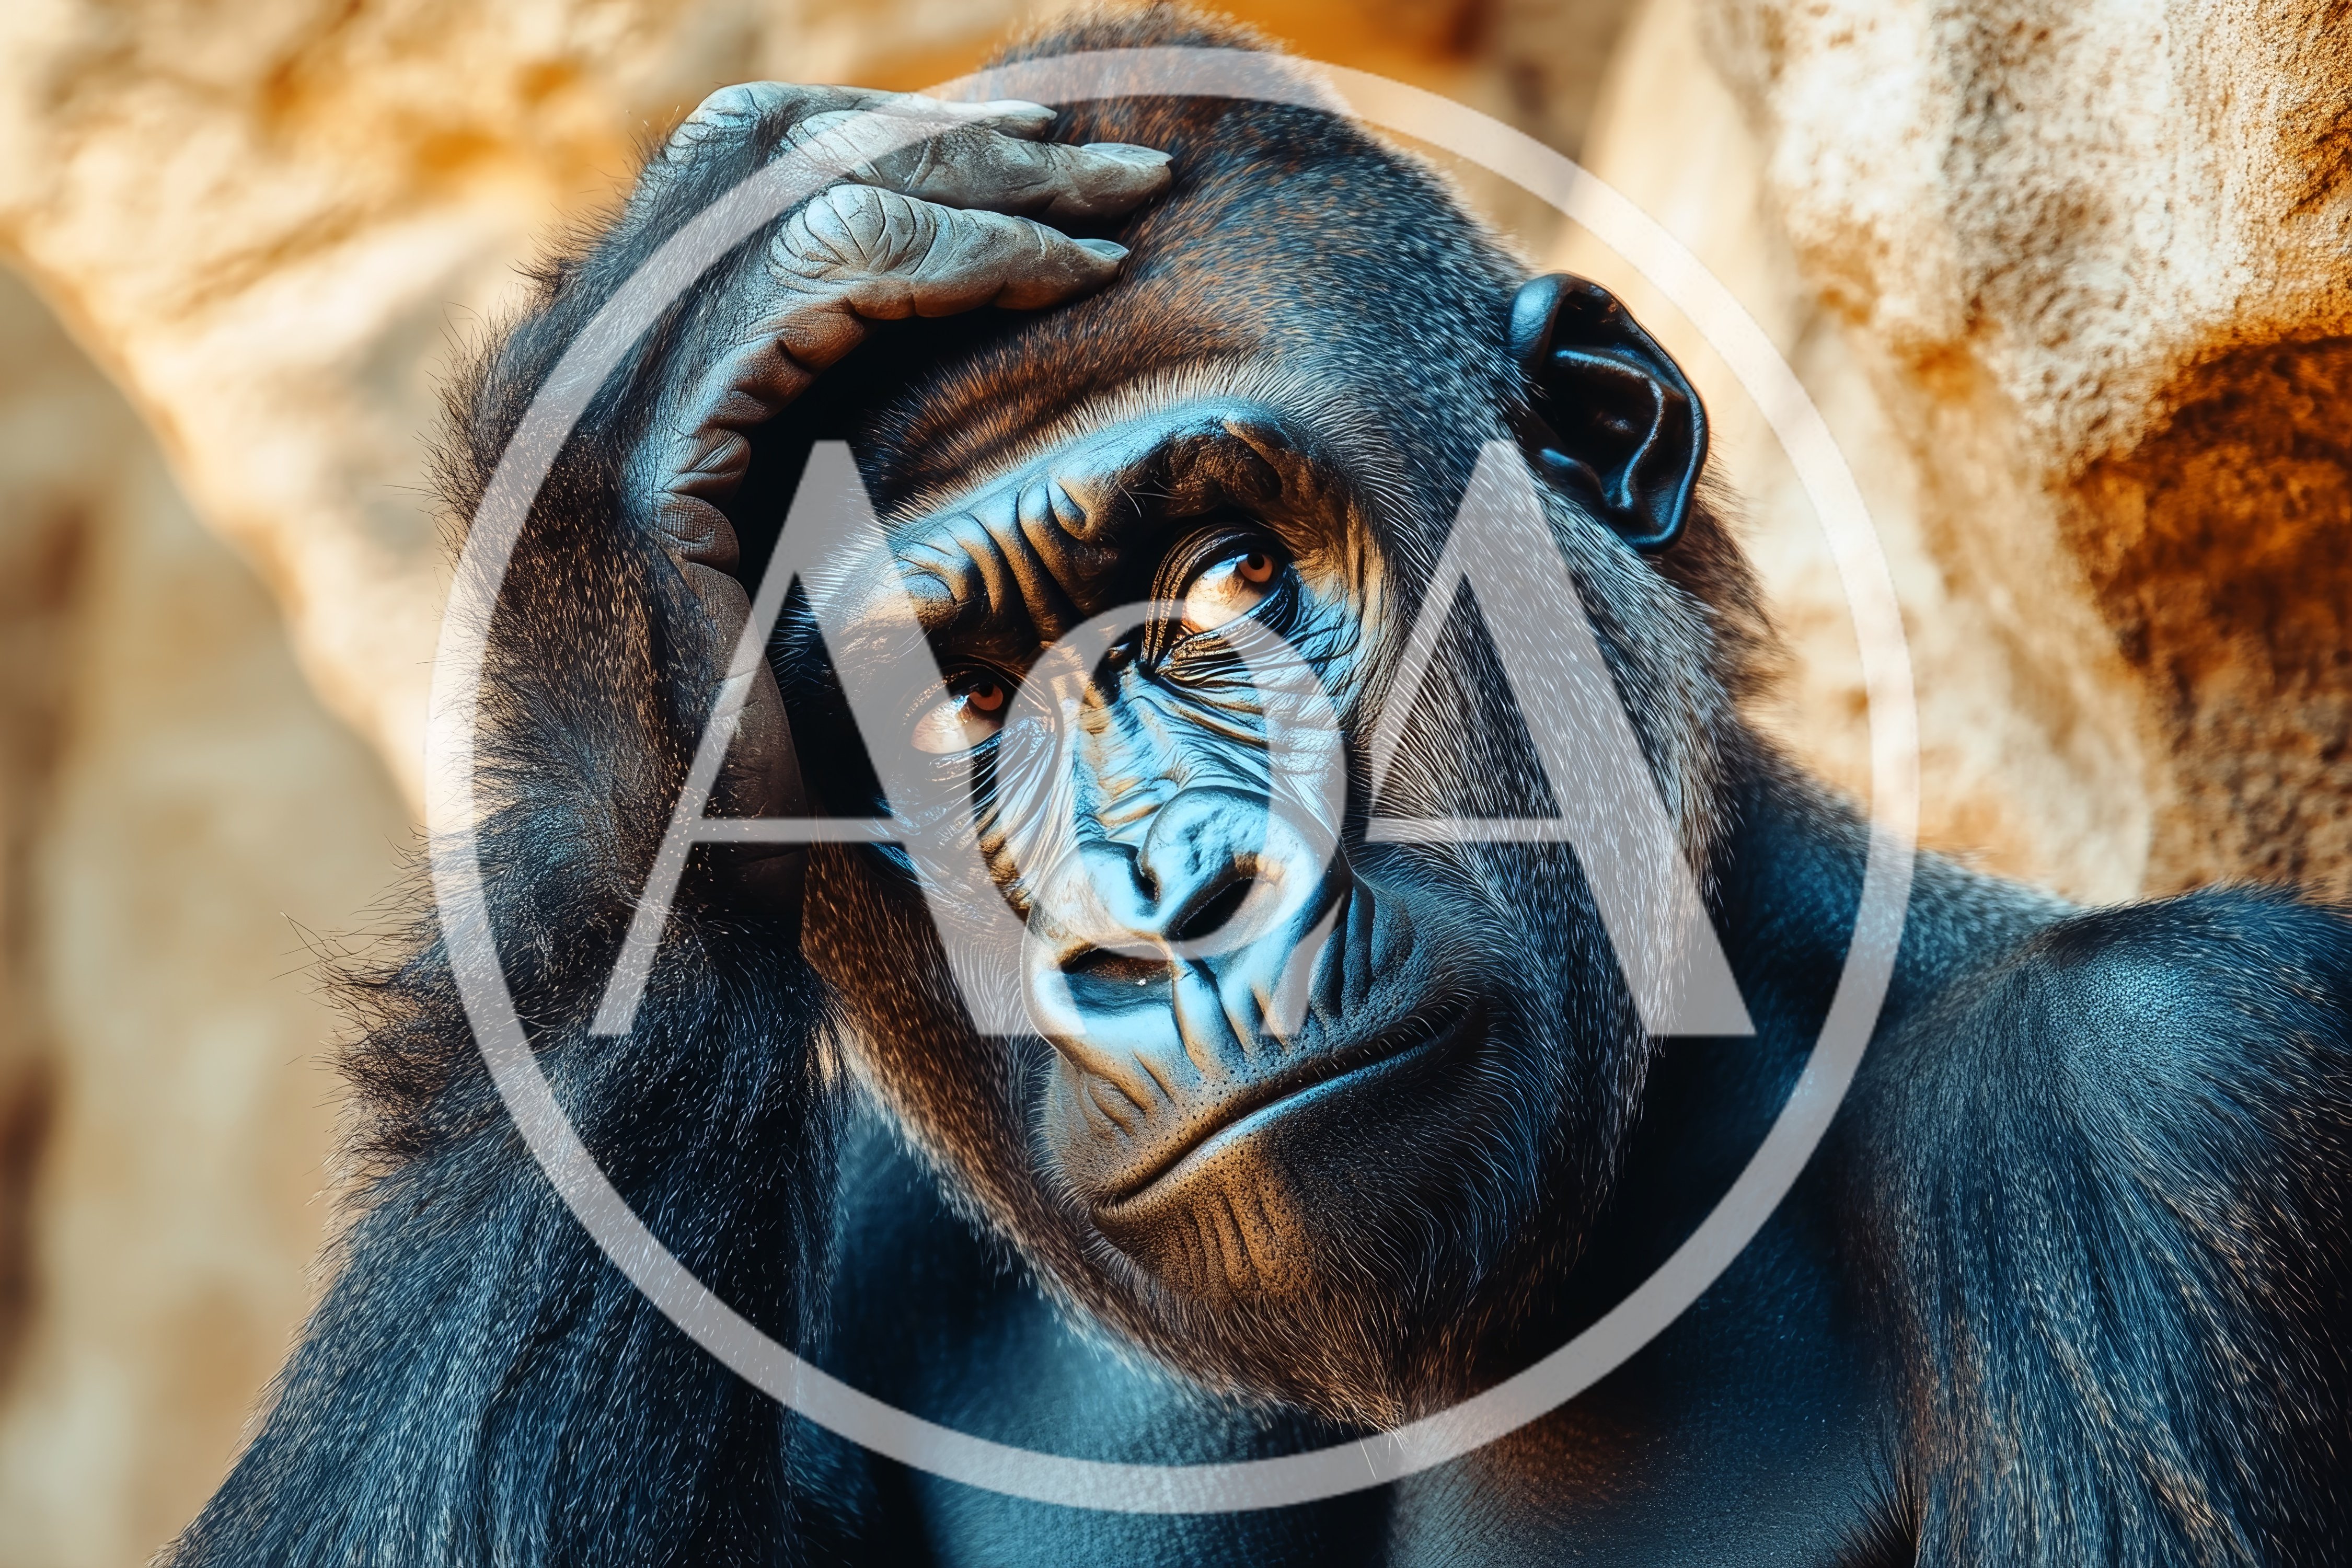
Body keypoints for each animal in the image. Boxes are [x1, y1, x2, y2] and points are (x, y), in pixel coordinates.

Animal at [170, 8, 2352, 1566]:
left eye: (1228, 578)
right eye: (960, 708)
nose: (1162, 909)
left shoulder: (2180, 1091)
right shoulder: (868, 1241)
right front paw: (611, 568)